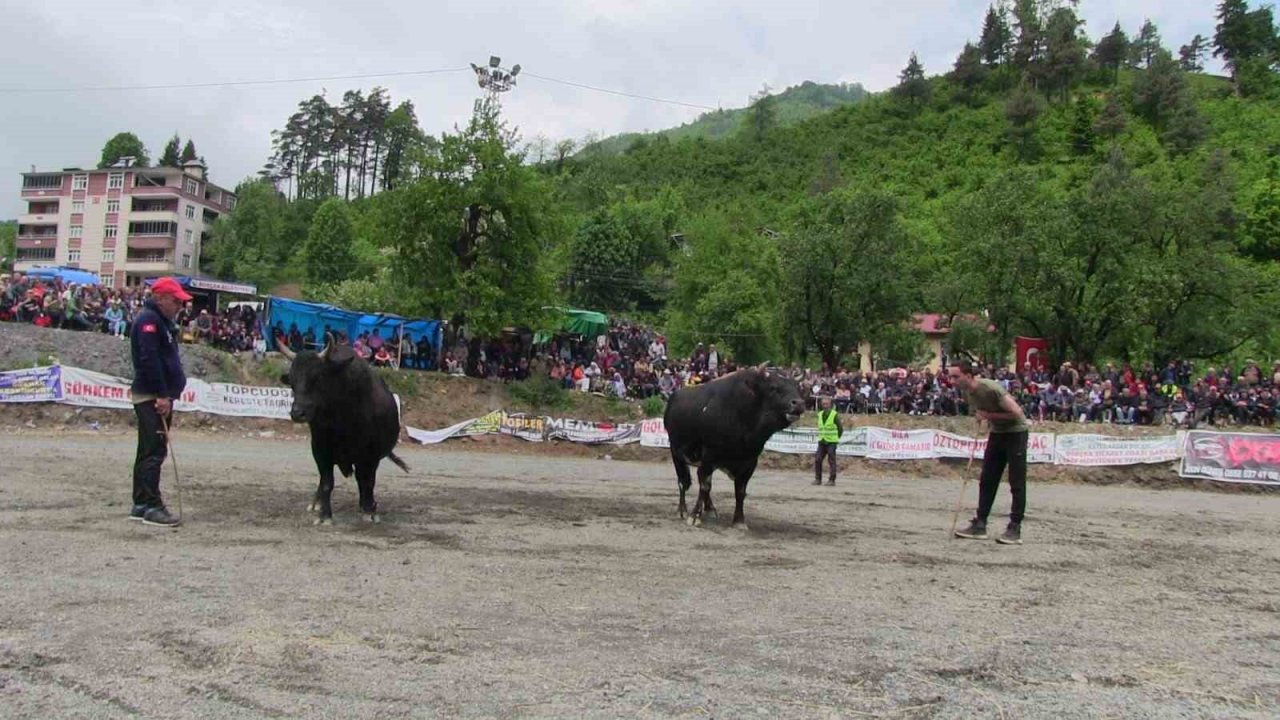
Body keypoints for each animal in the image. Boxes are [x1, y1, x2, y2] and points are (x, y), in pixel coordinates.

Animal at [277, 335, 407, 520]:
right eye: (292, 382)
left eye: (318, 378)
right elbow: (326, 482)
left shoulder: (370, 456)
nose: (297, 413)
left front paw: (369, 510)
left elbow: (367, 483)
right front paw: (325, 515)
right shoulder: (320, 450)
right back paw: (316, 503)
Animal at [665, 363, 803, 527]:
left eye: (797, 387)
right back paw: (682, 510)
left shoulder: (749, 462)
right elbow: (705, 485)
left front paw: (739, 520)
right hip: (676, 453)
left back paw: (710, 509)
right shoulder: (709, 456)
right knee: (683, 482)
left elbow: (740, 491)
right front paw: (694, 516)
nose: (799, 403)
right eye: (773, 388)